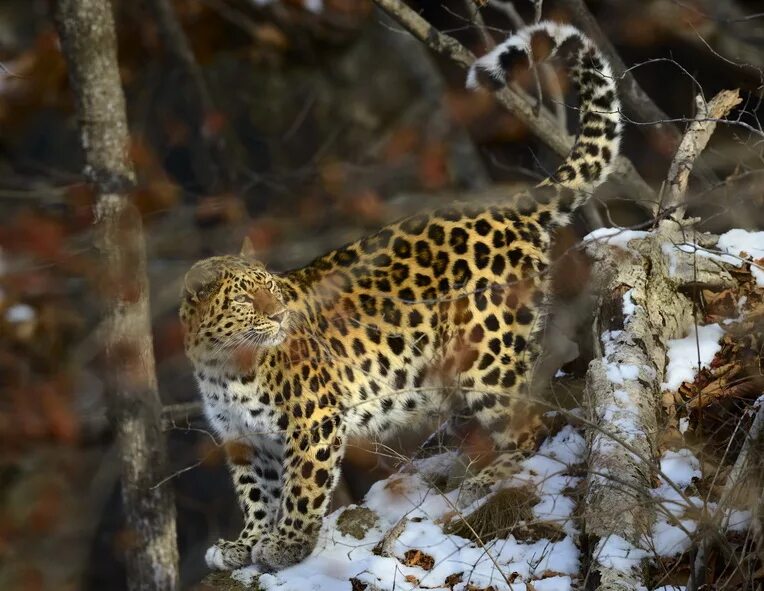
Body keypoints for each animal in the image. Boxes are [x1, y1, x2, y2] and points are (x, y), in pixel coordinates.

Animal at [179, 22, 620, 572]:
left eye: (272, 291)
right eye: (246, 300)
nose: (279, 316)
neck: (222, 364)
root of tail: (510, 206)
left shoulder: (314, 419)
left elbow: (301, 489)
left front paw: (287, 546)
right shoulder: (243, 440)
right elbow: (255, 494)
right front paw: (244, 544)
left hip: (486, 355)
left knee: (530, 425)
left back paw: (485, 479)